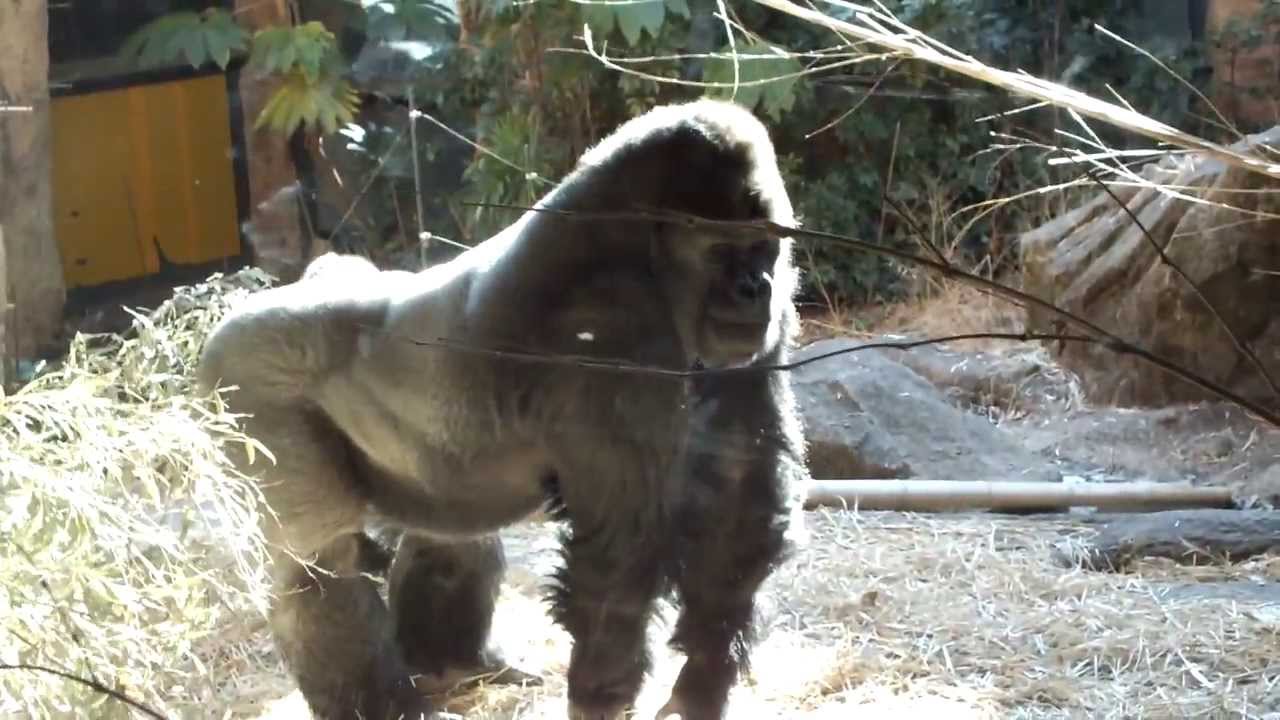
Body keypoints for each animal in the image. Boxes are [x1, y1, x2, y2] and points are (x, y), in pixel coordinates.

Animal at [196, 98, 810, 720]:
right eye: (722, 249)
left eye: (764, 246)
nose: (754, 288)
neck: (642, 246)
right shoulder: (617, 328)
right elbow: (619, 556)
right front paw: (604, 697)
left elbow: (738, 485)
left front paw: (703, 676)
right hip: (245, 370)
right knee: (322, 561)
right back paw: (385, 700)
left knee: (449, 528)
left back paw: (452, 663)